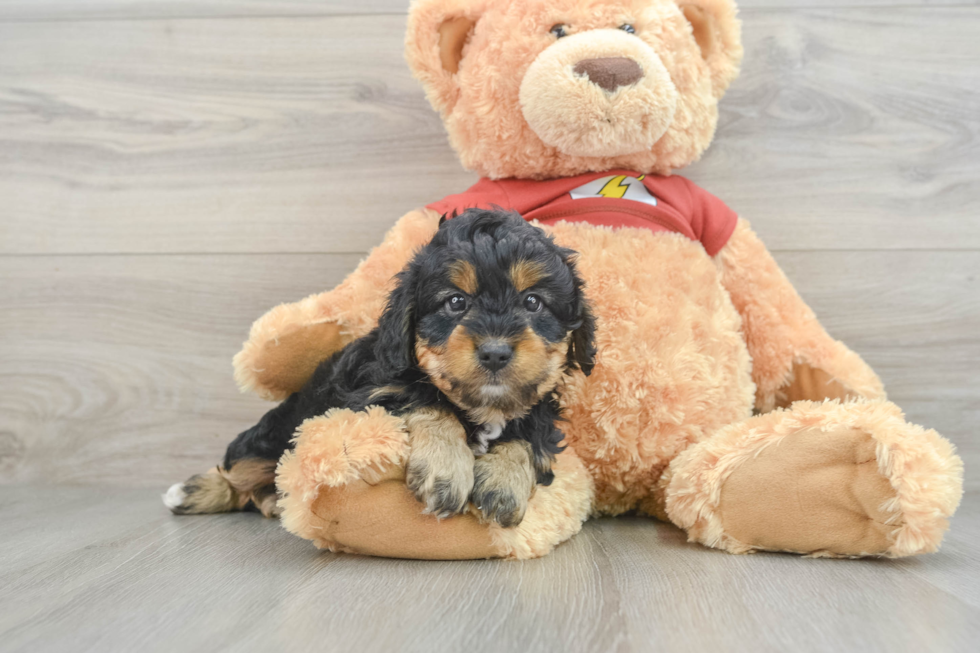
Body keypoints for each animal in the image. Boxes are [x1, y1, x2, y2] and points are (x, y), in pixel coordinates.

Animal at [167, 209, 596, 524]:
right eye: (455, 302)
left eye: (533, 302)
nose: (494, 352)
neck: (482, 406)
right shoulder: (371, 392)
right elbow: (427, 401)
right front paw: (446, 469)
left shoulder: (541, 409)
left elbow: (530, 434)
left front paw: (504, 482)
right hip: (273, 433)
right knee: (239, 469)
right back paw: (191, 492)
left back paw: (273, 498)